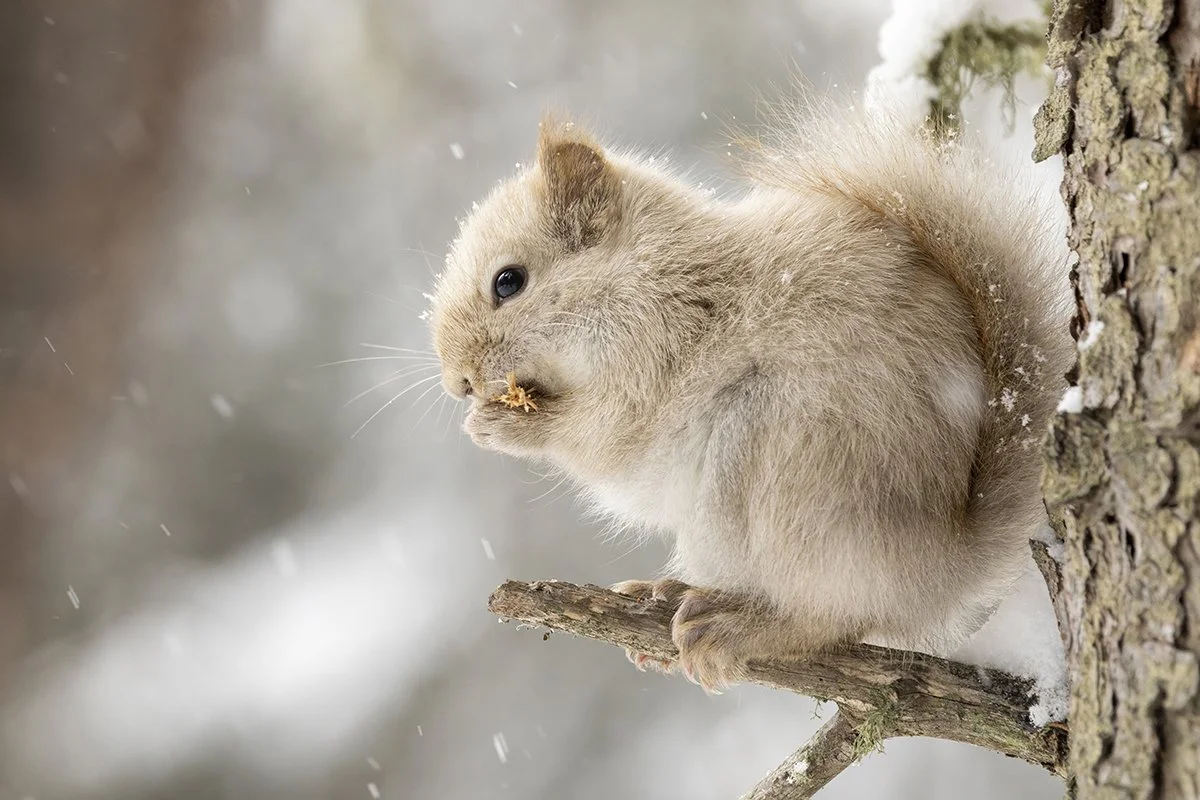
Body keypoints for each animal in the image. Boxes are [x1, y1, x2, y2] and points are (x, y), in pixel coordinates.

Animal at [428, 99, 1073, 691]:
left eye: (508, 282)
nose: (457, 382)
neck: (644, 275)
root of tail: (936, 570)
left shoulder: (658, 350)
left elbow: (607, 440)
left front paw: (505, 428)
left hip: (775, 465)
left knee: (836, 614)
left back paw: (739, 625)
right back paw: (668, 595)